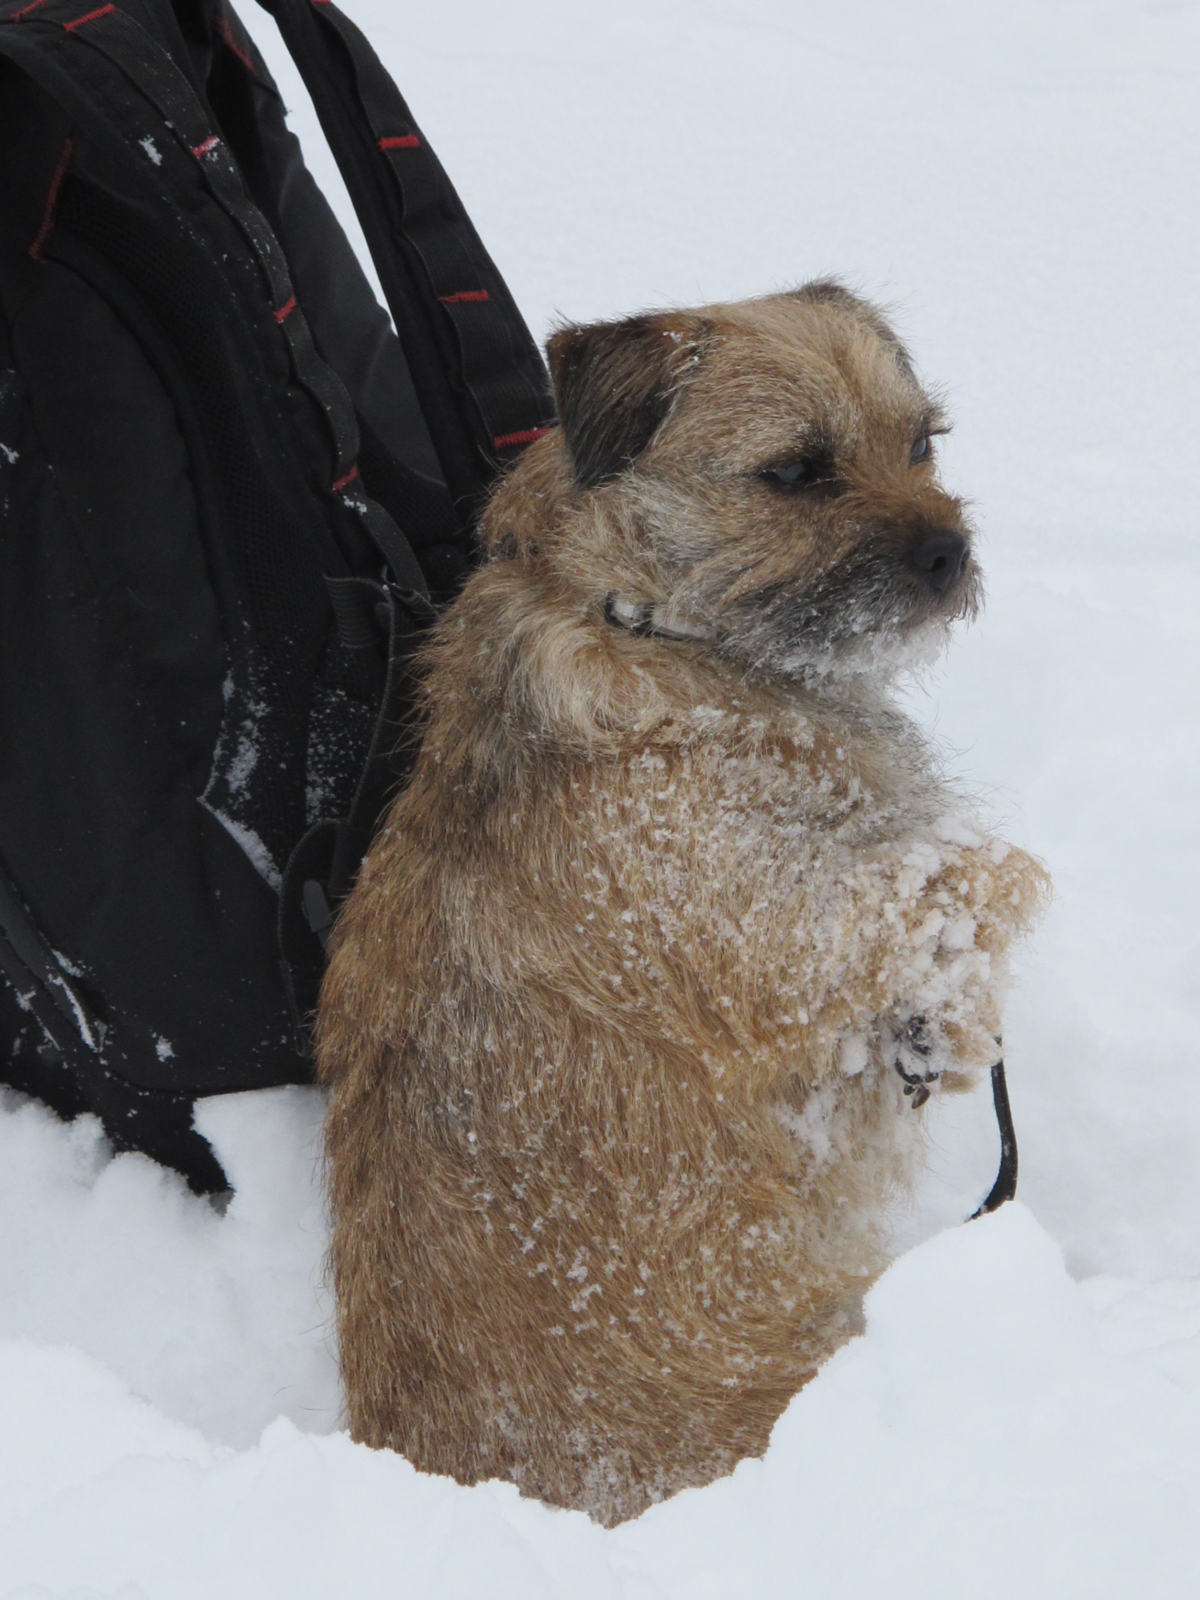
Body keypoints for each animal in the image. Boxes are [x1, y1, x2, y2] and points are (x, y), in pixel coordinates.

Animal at [315, 282, 1050, 1526]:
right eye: (797, 470)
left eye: (923, 443)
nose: (951, 552)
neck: (646, 619)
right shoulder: (792, 927)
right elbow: (971, 873)